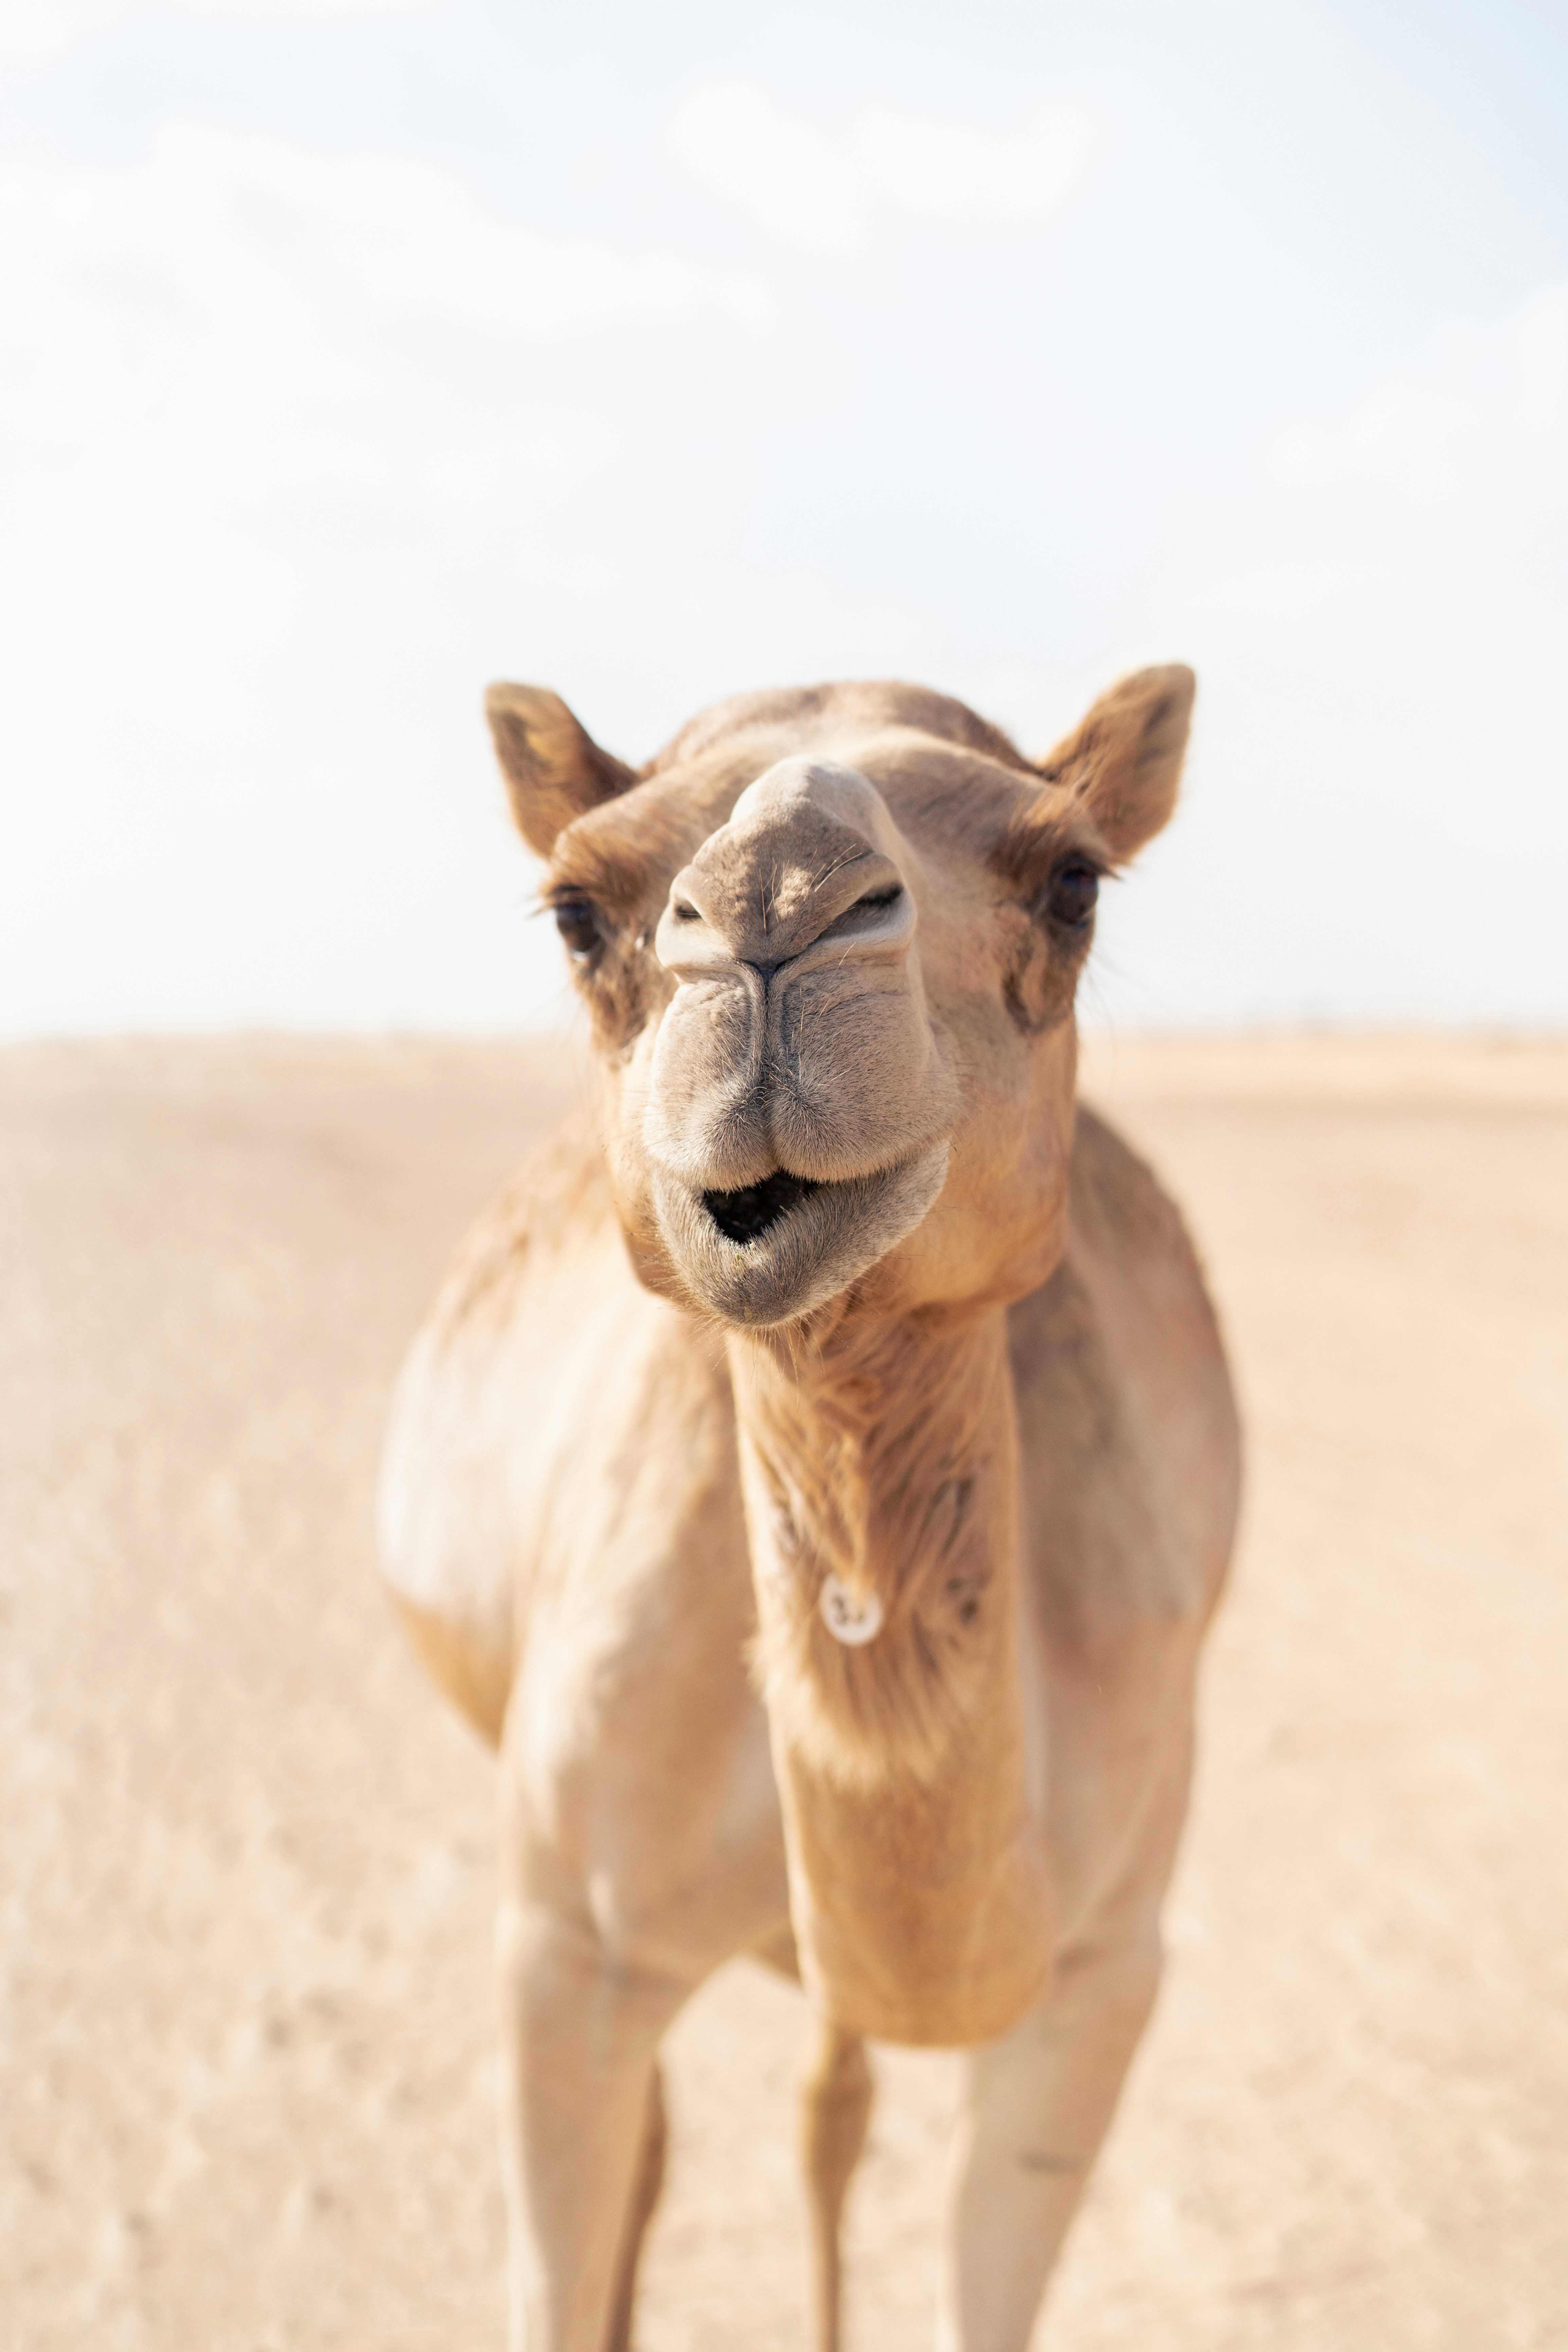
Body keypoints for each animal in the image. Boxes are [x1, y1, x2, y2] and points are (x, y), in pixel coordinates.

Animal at [378, 664, 1241, 2352]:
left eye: (1073, 879)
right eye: (578, 909)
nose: (775, 901)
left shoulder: (1102, 1969)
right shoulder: (565, 1946)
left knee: (828, 2098)